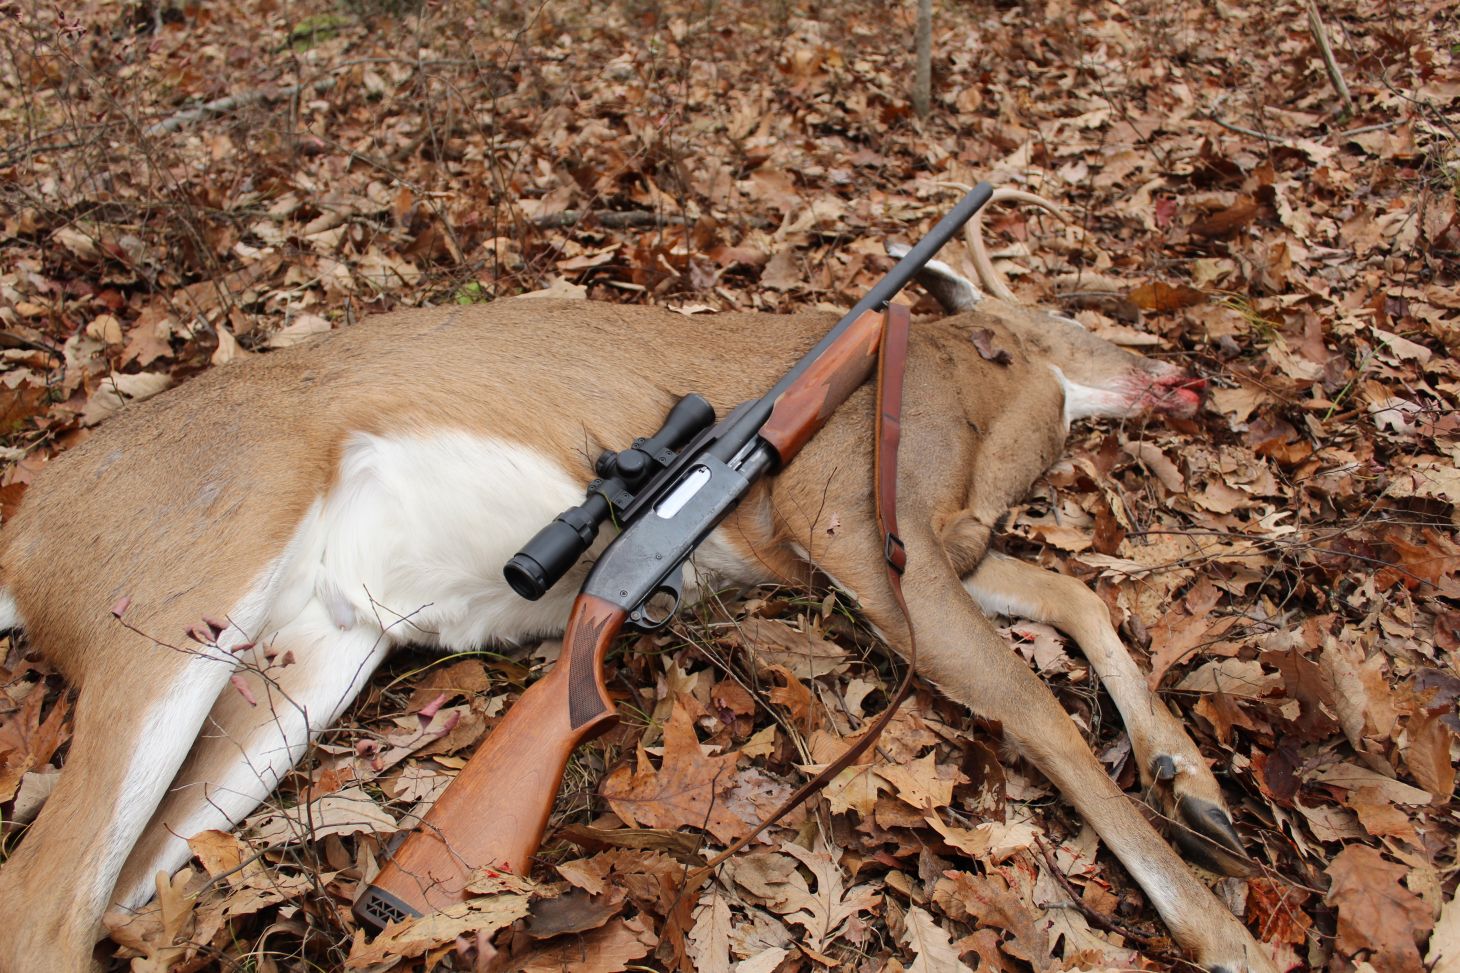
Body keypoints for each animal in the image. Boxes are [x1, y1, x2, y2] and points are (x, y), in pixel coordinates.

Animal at [0, 189, 1276, 973]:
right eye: (1073, 316)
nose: (1177, 367)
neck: (980, 433)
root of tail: (22, 537)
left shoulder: (922, 547)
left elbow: (1078, 597)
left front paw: (1198, 786)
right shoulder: (845, 515)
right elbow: (1033, 707)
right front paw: (1220, 925)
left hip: (295, 666)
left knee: (118, 888)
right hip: (182, 579)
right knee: (43, 901)